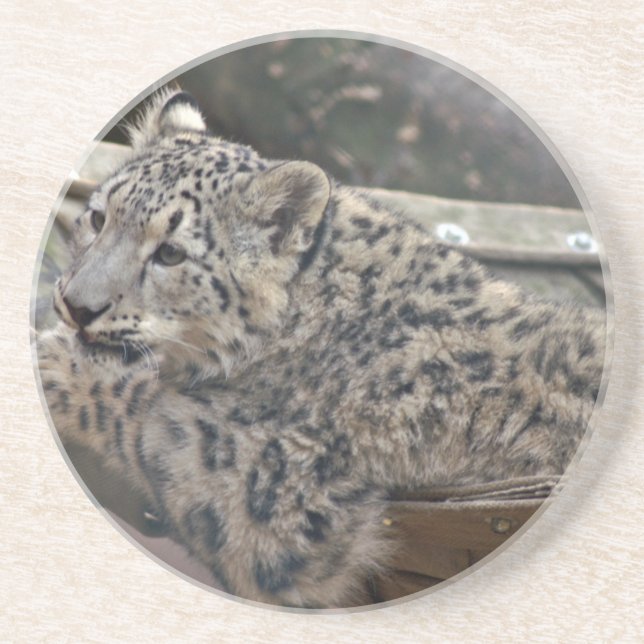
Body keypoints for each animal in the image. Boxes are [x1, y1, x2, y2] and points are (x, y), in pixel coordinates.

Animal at [36, 89, 606, 608]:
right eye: (98, 218)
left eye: (171, 253)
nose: (77, 306)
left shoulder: (273, 490)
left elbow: (149, 413)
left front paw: (58, 360)